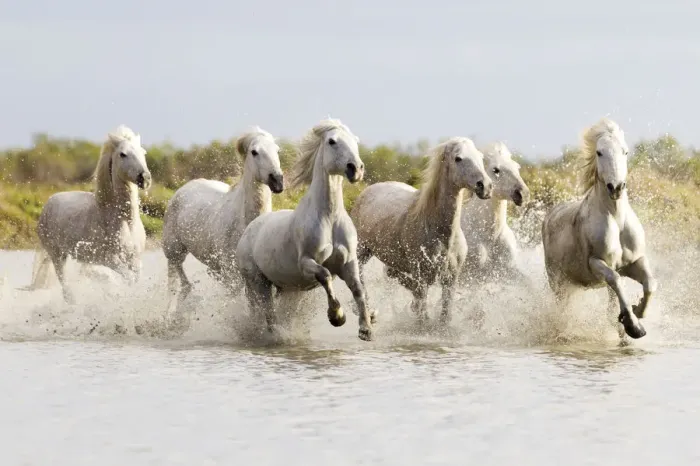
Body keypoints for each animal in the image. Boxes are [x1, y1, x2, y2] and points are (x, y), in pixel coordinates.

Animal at [33, 125, 152, 303]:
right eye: (122, 154)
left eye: (143, 152)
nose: (145, 178)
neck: (122, 221)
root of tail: (49, 203)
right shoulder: (111, 260)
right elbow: (128, 280)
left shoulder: (135, 259)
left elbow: (135, 279)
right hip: (57, 255)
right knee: (64, 283)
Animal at [161, 127, 284, 322]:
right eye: (254, 152)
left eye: (277, 151)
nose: (277, 181)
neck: (246, 224)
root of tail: (183, 188)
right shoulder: (232, 276)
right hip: (173, 250)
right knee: (174, 281)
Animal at [235, 118, 375, 341]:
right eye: (332, 141)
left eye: (355, 140)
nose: (356, 169)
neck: (329, 218)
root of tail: (251, 227)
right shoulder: (306, 262)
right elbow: (325, 275)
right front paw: (337, 316)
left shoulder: (348, 262)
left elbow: (358, 289)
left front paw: (366, 329)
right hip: (257, 283)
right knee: (267, 314)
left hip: (287, 287)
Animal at [349, 137, 493, 326]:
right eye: (458, 158)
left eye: (480, 157)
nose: (485, 186)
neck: (441, 234)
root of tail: (368, 190)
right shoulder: (420, 274)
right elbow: (423, 316)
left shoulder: (451, 279)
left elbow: (445, 316)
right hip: (362, 251)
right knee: (360, 276)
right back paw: (369, 313)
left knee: (392, 274)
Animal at [541, 117, 657, 340]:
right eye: (599, 152)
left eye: (625, 151)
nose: (616, 188)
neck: (616, 218)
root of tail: (550, 215)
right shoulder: (596, 263)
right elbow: (616, 279)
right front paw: (633, 325)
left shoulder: (634, 261)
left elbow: (649, 283)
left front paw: (637, 312)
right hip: (558, 281)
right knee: (562, 308)